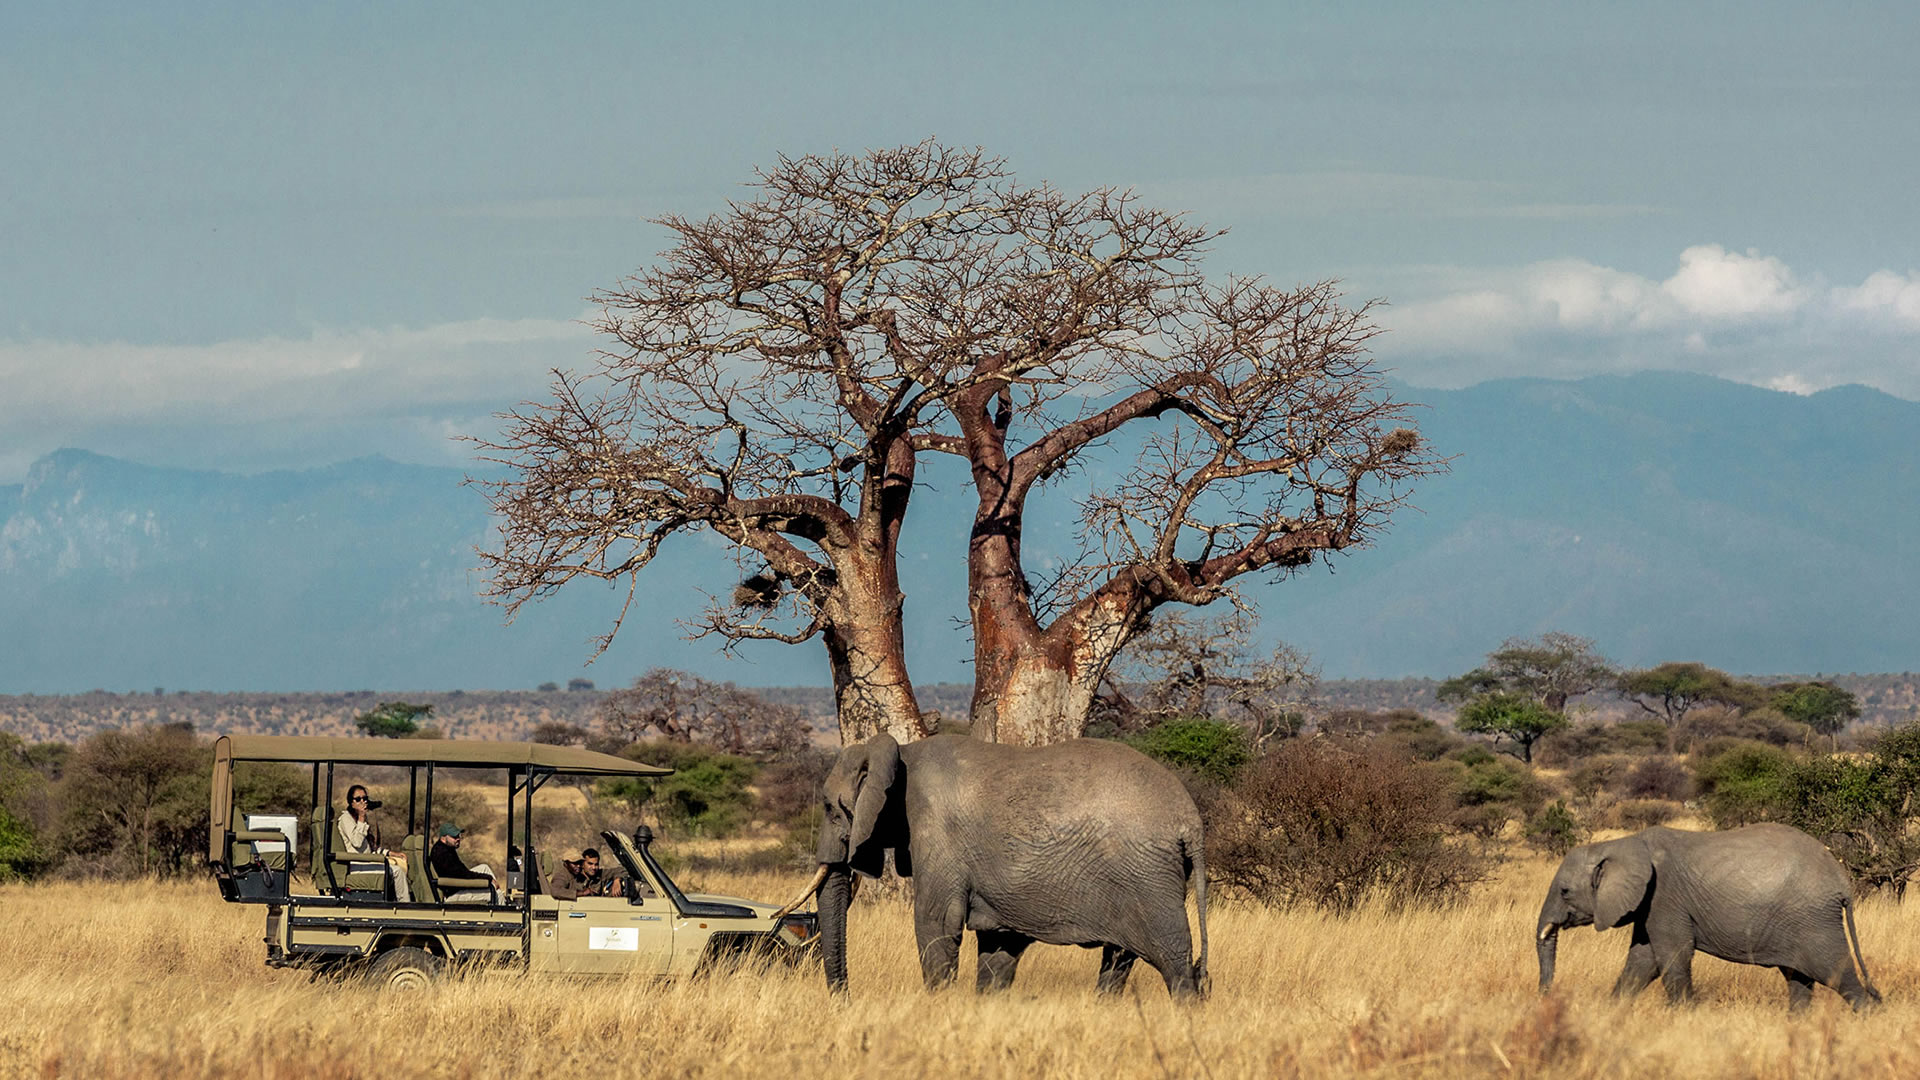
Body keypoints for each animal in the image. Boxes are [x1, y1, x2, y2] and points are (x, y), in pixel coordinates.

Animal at [775, 726, 1198, 999]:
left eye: (831, 808)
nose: (844, 999)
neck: (901, 753)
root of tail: (1189, 820)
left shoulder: (937, 832)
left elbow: (936, 921)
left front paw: (938, 1006)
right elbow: (999, 941)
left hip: (1147, 877)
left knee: (1173, 958)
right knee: (1120, 957)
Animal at [1536, 822, 1881, 1006]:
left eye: (1564, 891)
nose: (1545, 997)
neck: (1625, 843)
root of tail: (1841, 882)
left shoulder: (1665, 897)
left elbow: (1672, 956)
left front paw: (1683, 1016)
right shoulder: (1649, 904)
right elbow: (1642, 961)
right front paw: (1612, 1013)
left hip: (1814, 921)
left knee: (1836, 975)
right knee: (1799, 979)